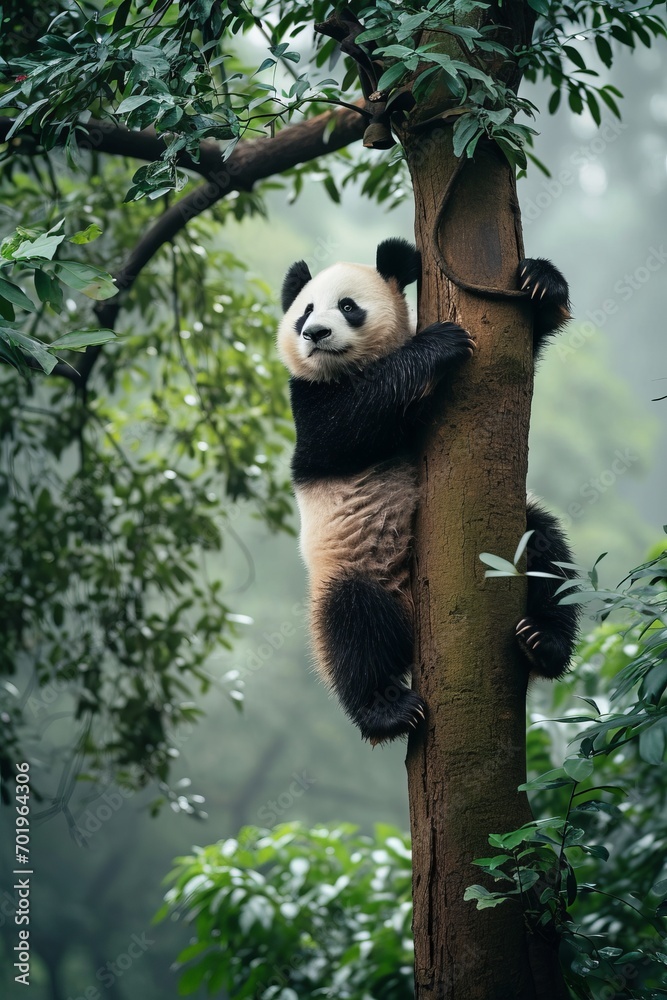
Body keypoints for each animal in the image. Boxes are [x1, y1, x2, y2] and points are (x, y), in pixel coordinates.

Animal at [277, 238, 579, 743]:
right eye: (305, 312)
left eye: (347, 306)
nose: (315, 334)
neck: (346, 368)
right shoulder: (308, 405)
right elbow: (353, 418)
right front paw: (440, 344)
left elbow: (524, 346)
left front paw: (540, 281)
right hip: (350, 568)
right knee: (352, 624)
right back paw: (387, 711)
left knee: (545, 547)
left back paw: (544, 642)